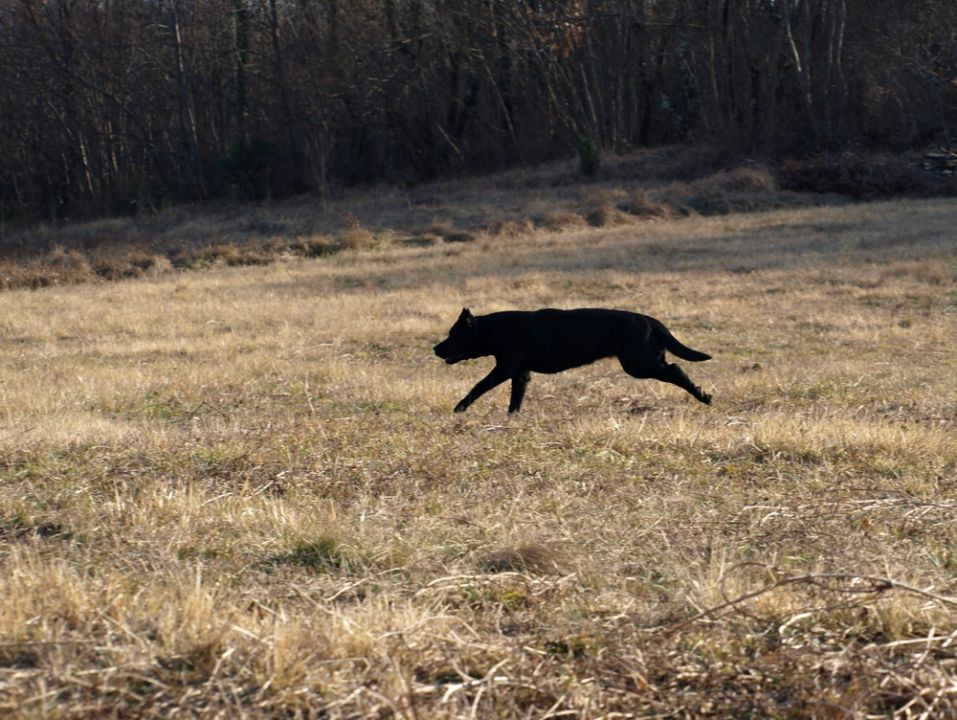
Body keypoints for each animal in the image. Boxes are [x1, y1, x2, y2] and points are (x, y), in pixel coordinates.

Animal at [434, 306, 708, 414]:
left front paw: (459, 409)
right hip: (642, 362)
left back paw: (703, 396)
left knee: (676, 369)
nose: (435, 348)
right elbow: (515, 402)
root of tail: (651, 321)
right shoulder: (520, 374)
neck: (495, 330)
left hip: (638, 364)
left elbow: (477, 387)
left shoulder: (504, 368)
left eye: (453, 335)